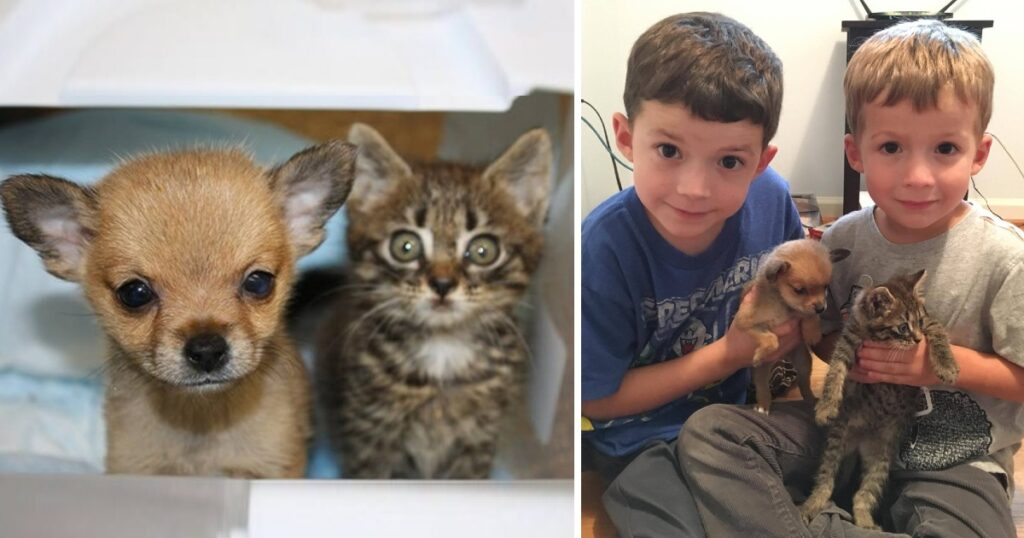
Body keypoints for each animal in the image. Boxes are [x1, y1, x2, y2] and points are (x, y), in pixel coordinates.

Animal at [315, 122, 552, 477]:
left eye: (483, 250)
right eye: (405, 246)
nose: (442, 284)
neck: (444, 349)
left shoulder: (479, 437)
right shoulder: (369, 432)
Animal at [737, 239, 847, 416]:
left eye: (825, 287)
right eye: (799, 290)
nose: (821, 308)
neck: (783, 304)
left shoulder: (803, 311)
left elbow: (808, 315)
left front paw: (812, 333)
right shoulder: (745, 323)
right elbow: (772, 339)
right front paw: (760, 354)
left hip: (803, 362)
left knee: (804, 383)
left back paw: (811, 400)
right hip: (761, 372)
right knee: (762, 387)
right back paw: (763, 405)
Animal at [798, 270, 958, 524]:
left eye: (920, 321)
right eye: (903, 327)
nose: (917, 340)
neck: (877, 337)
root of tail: (860, 442)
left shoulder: (931, 325)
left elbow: (939, 333)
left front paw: (947, 366)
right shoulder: (847, 342)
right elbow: (834, 372)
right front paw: (826, 407)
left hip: (882, 457)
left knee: (863, 495)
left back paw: (865, 523)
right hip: (836, 442)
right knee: (826, 480)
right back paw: (812, 504)